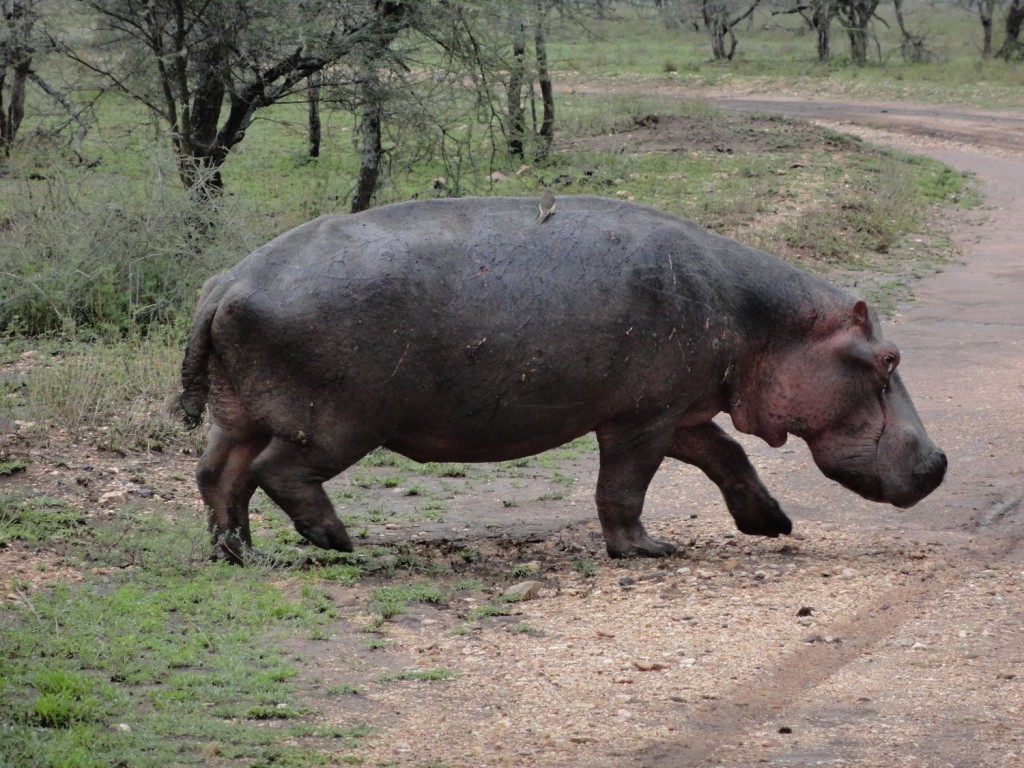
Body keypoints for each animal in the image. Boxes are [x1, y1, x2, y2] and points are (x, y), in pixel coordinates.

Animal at [174, 195, 942, 561]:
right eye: (889, 360)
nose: (938, 462)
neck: (770, 323)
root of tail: (226, 280)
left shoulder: (680, 410)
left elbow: (729, 456)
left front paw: (773, 524)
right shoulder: (642, 419)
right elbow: (625, 487)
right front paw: (647, 551)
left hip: (239, 412)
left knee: (219, 476)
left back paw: (236, 554)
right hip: (333, 423)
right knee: (278, 473)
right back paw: (336, 541)